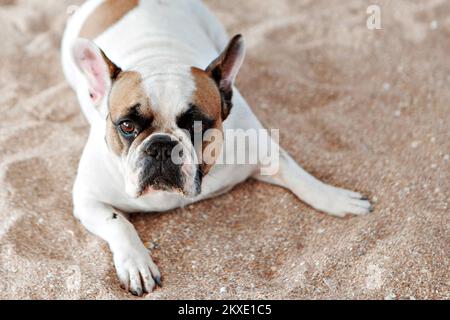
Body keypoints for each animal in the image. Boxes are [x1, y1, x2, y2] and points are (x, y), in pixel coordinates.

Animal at [62, 0, 372, 298]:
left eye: (197, 125)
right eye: (126, 126)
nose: (161, 145)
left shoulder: (263, 150)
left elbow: (301, 178)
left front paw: (335, 198)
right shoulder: (88, 199)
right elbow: (117, 223)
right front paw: (136, 264)